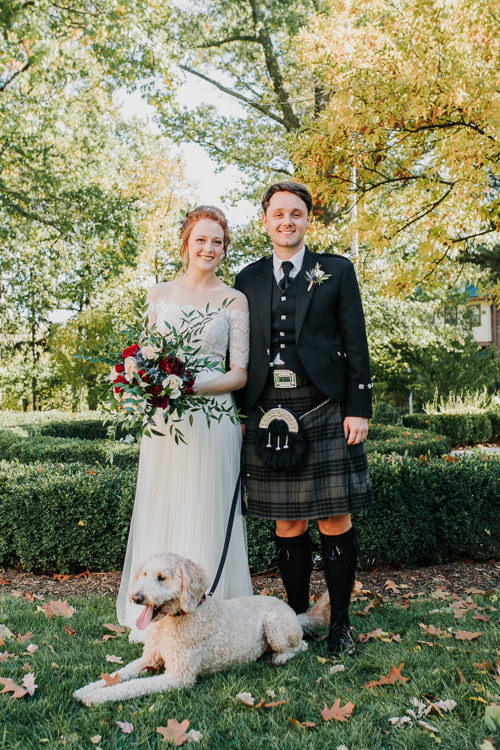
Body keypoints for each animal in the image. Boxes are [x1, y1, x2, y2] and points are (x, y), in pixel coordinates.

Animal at [72, 552, 330, 704]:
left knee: (301, 646)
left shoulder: (179, 677)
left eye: (162, 577)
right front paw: (87, 688)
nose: (136, 597)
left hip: (275, 625)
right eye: (144, 574)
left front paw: (98, 696)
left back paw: (280, 657)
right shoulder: (148, 660)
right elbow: (119, 674)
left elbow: (135, 686)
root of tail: (293, 612)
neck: (172, 621)